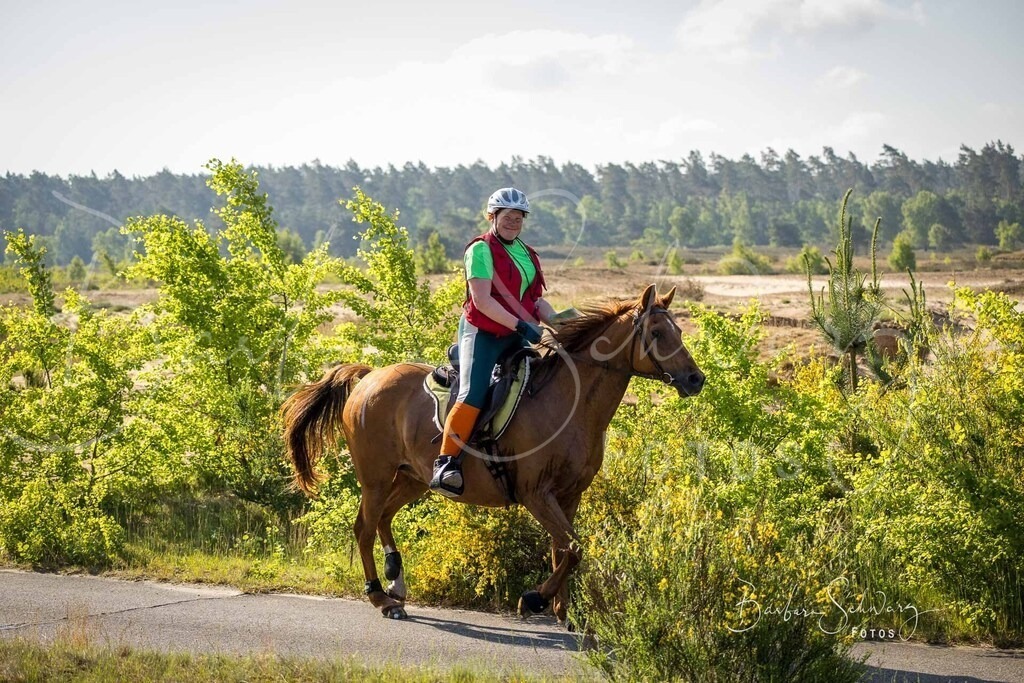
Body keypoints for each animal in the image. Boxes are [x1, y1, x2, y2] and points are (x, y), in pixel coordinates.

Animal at [281, 283, 704, 621]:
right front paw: (534, 600)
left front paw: (563, 612)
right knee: (365, 527)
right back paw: (381, 599)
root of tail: (369, 377)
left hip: (414, 477)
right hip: (376, 477)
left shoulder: (569, 495)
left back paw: (396, 584)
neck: (571, 402)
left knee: (384, 518)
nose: (696, 379)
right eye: (657, 332)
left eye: (678, 330)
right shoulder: (536, 493)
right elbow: (572, 548)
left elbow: (565, 551)